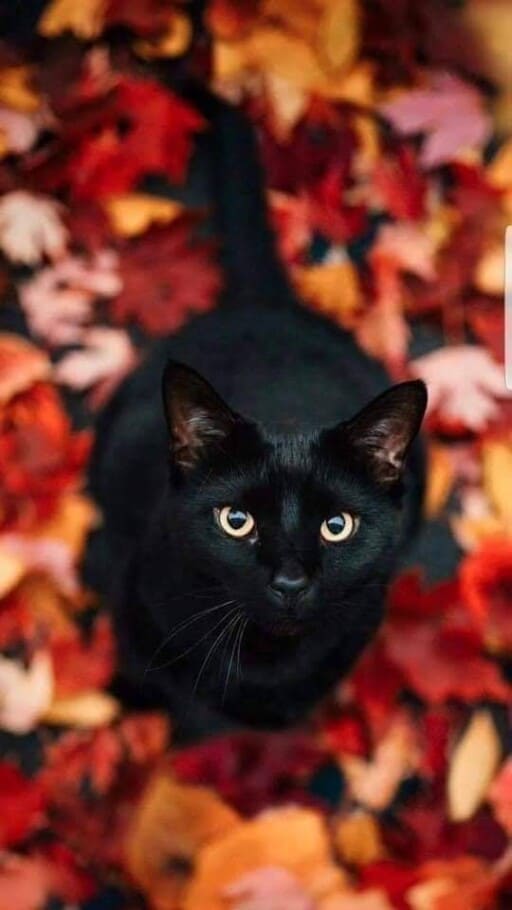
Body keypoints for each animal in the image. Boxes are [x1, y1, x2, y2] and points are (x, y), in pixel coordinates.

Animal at [89, 92, 428, 740]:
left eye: (337, 525)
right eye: (235, 521)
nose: (290, 581)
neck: (263, 662)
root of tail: (265, 302)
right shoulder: (138, 614)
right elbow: (162, 686)